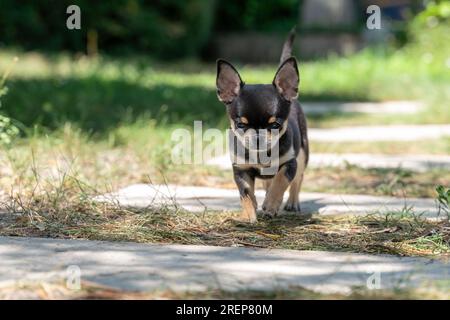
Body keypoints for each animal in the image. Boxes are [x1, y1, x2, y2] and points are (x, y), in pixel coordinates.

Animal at [215, 28, 308, 222]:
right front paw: (249, 214)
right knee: (267, 182)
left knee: (297, 180)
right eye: (240, 125)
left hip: (303, 154)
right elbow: (245, 193)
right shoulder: (241, 170)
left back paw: (291, 203)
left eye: (275, 125)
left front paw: (271, 204)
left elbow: (281, 182)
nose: (258, 138)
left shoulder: (290, 164)